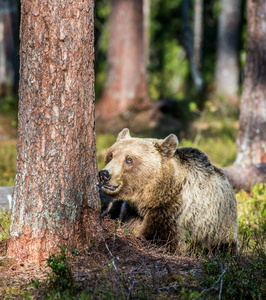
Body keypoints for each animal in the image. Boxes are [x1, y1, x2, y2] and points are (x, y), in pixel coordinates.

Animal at [99, 129, 237, 253]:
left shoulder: (173, 212)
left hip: (220, 230)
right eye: (111, 155)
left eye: (129, 159)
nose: (104, 174)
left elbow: (161, 240)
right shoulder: (130, 210)